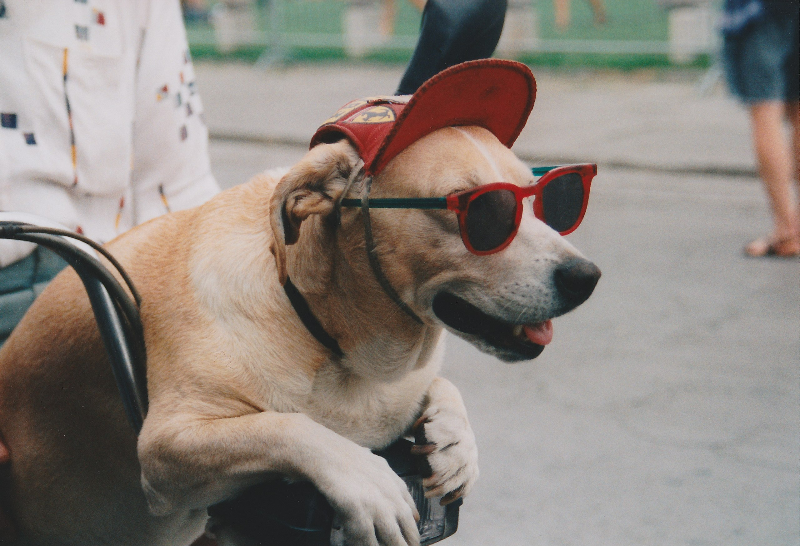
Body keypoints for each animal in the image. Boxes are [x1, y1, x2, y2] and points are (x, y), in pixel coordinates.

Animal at [0, 60, 600, 546]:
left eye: (550, 200)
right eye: (484, 212)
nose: (586, 277)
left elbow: (440, 390)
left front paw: (456, 440)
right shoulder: (167, 446)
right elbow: (284, 427)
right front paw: (365, 479)